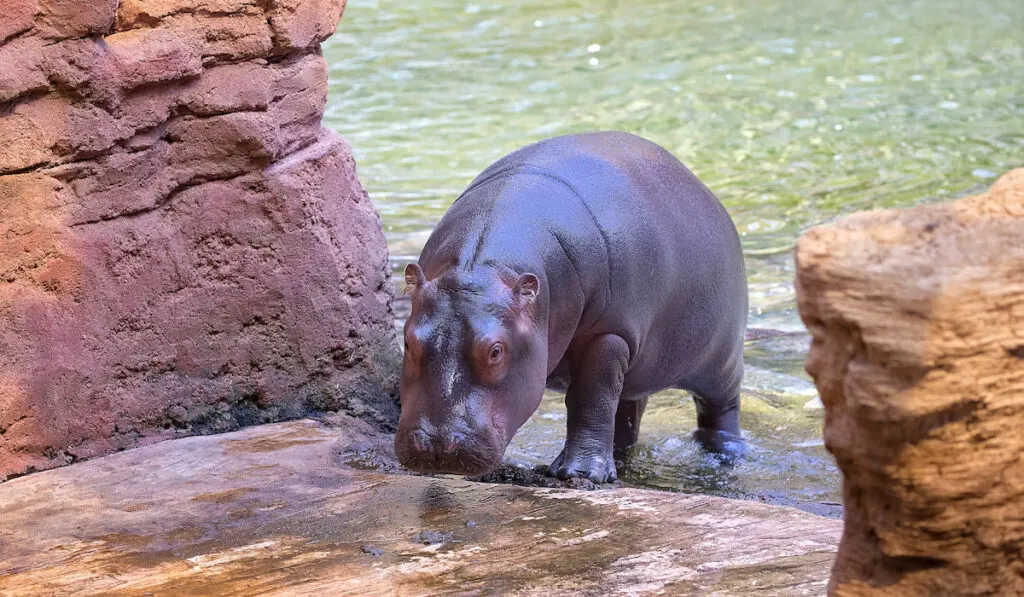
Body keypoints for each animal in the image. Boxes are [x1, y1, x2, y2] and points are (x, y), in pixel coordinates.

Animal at [395, 133, 749, 483]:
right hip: (639, 364)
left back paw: (728, 456)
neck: (485, 268)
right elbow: (601, 404)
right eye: (409, 342)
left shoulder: (609, 334)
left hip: (722, 361)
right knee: (626, 412)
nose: (437, 446)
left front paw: (581, 473)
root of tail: (708, 194)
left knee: (720, 410)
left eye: (495, 351)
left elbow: (590, 399)